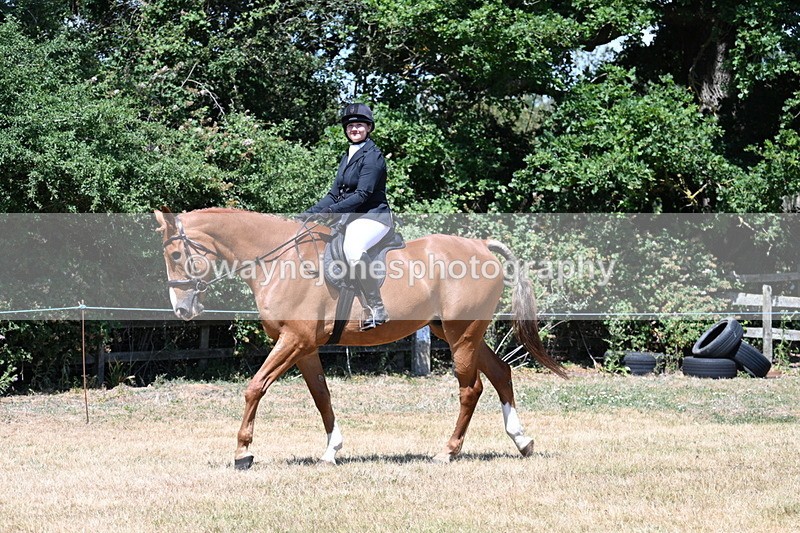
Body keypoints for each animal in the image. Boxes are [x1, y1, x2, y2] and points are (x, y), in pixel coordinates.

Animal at [154, 207, 567, 469]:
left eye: (175, 254)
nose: (181, 310)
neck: (278, 263)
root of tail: (480, 245)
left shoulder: (293, 340)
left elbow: (255, 387)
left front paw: (243, 453)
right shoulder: (305, 347)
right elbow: (321, 396)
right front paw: (331, 452)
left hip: (461, 335)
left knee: (471, 389)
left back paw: (448, 451)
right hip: (458, 332)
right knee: (500, 373)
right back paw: (522, 441)